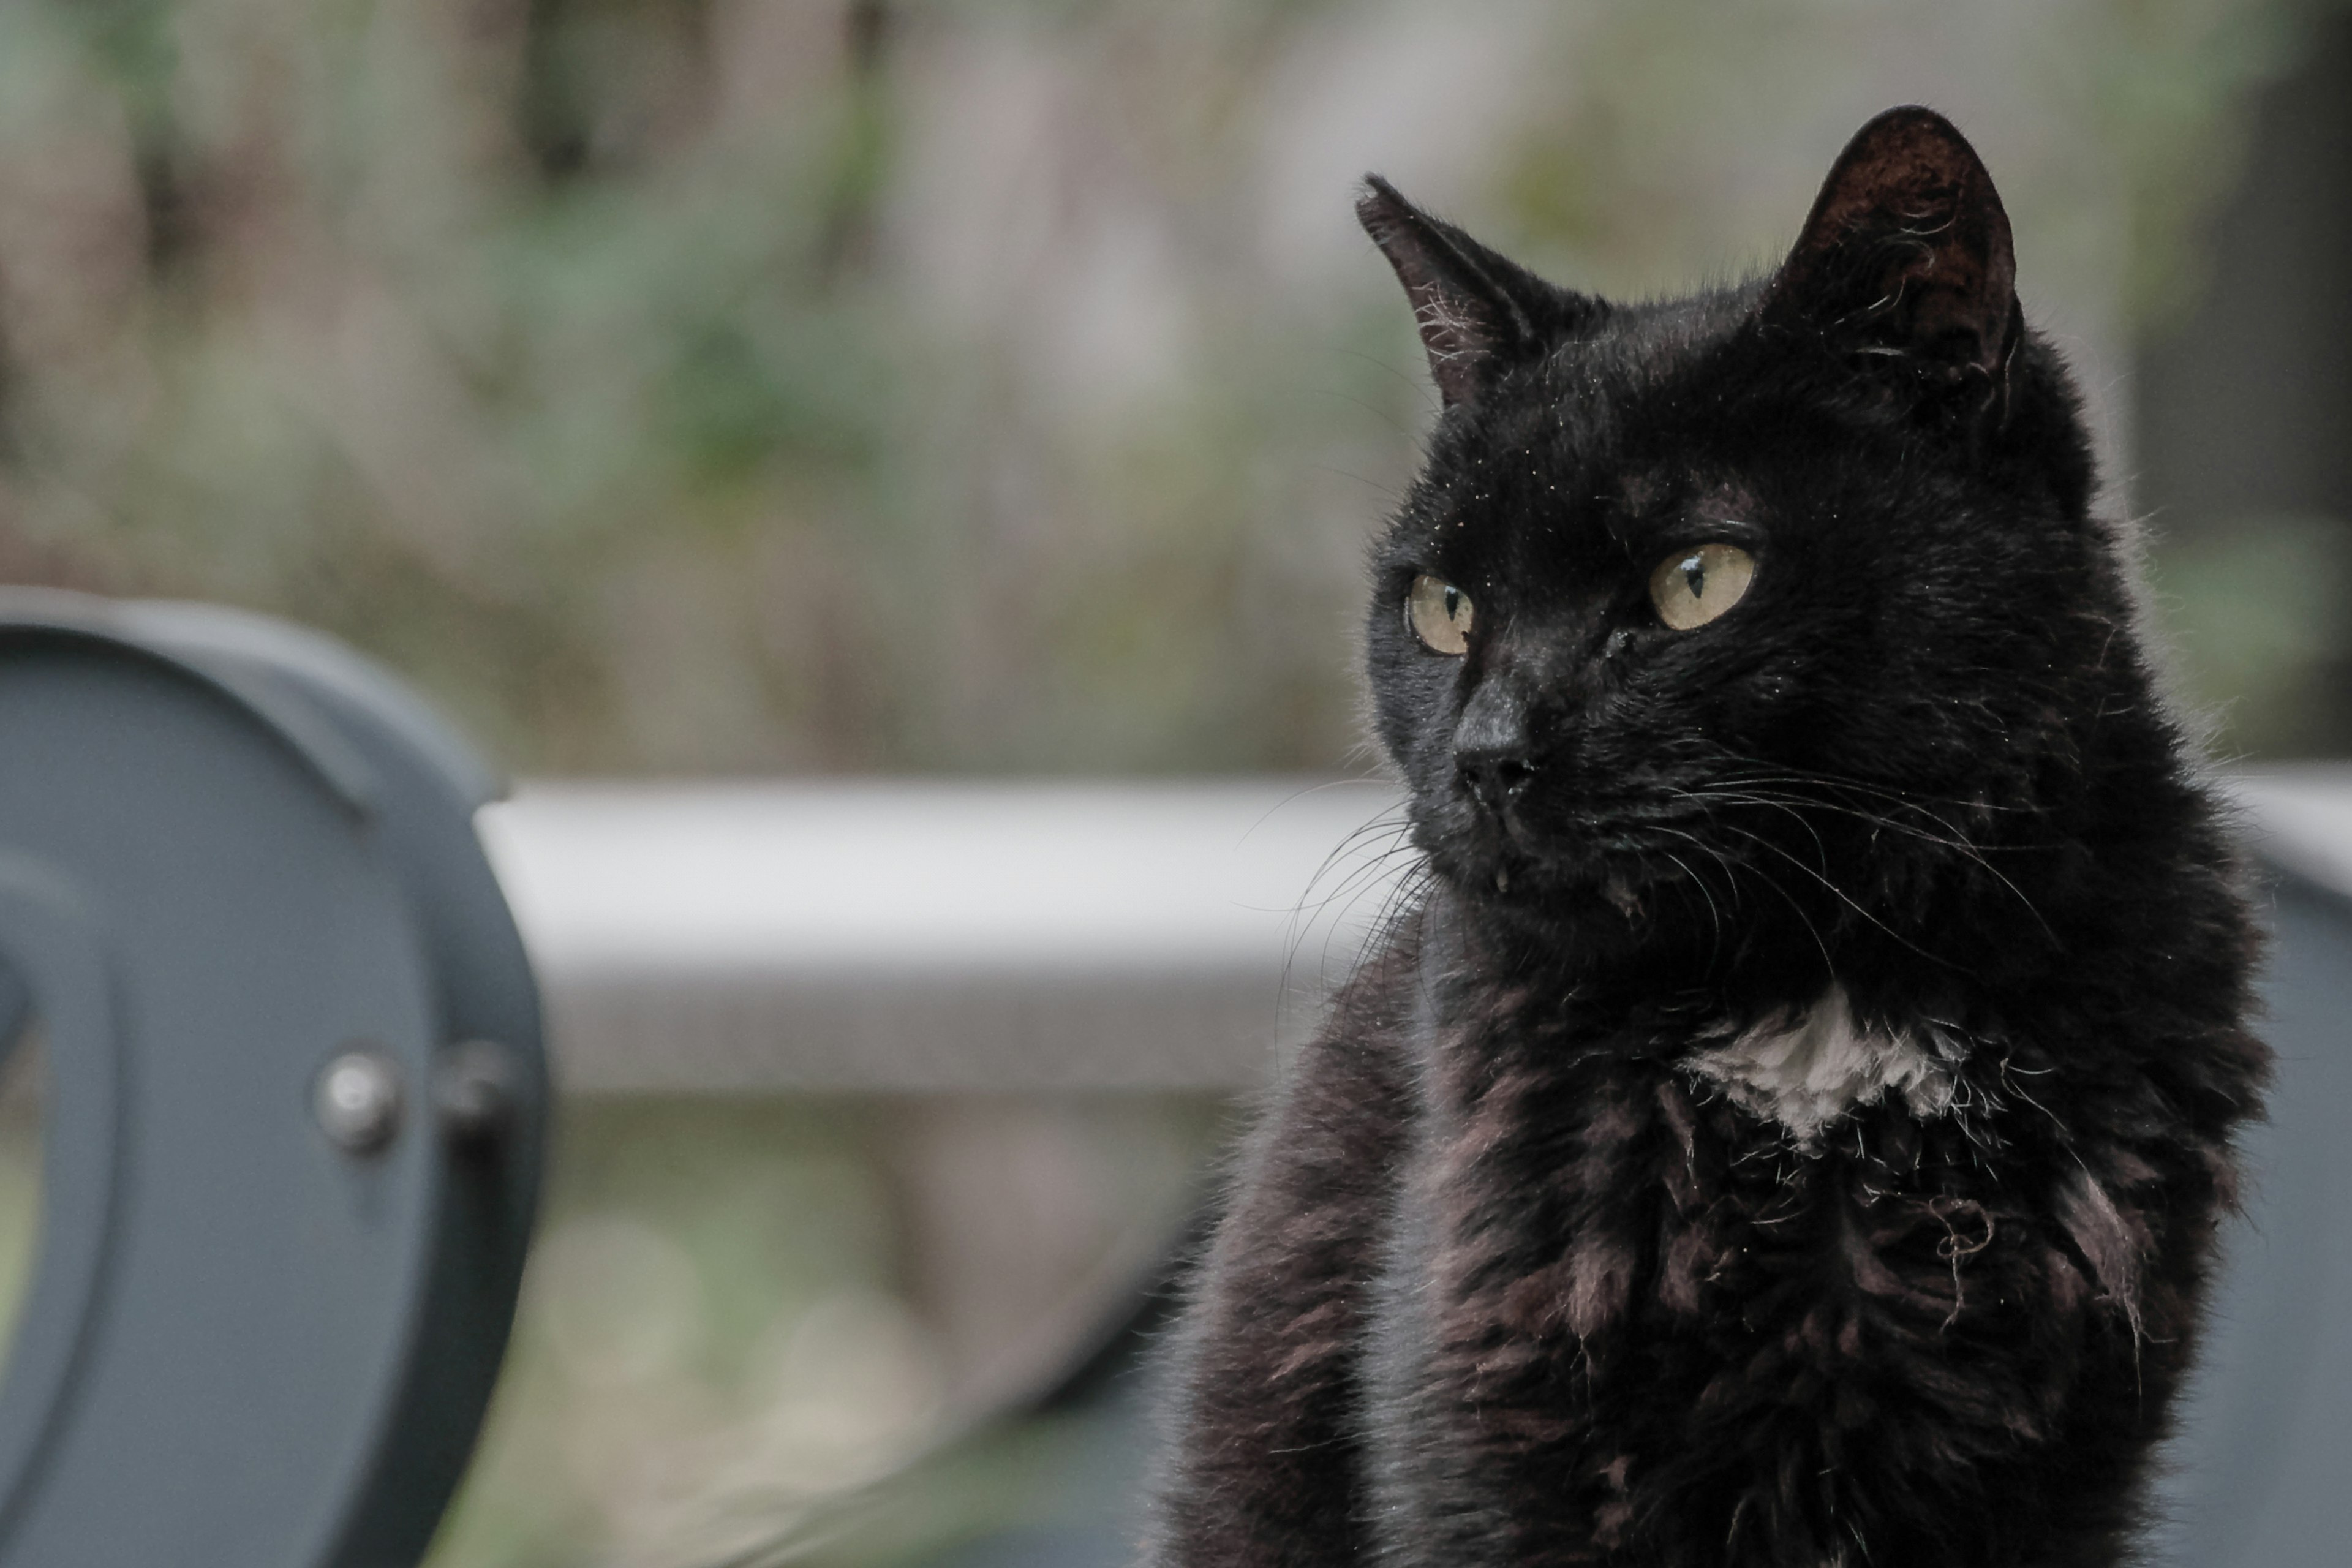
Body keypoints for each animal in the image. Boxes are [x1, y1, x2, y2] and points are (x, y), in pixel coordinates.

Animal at [1147, 107, 2267, 1568]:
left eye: (1697, 582)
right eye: (1445, 607)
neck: (1819, 999)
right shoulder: (1488, 1450)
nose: (1487, 754)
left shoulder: (2061, 1466)